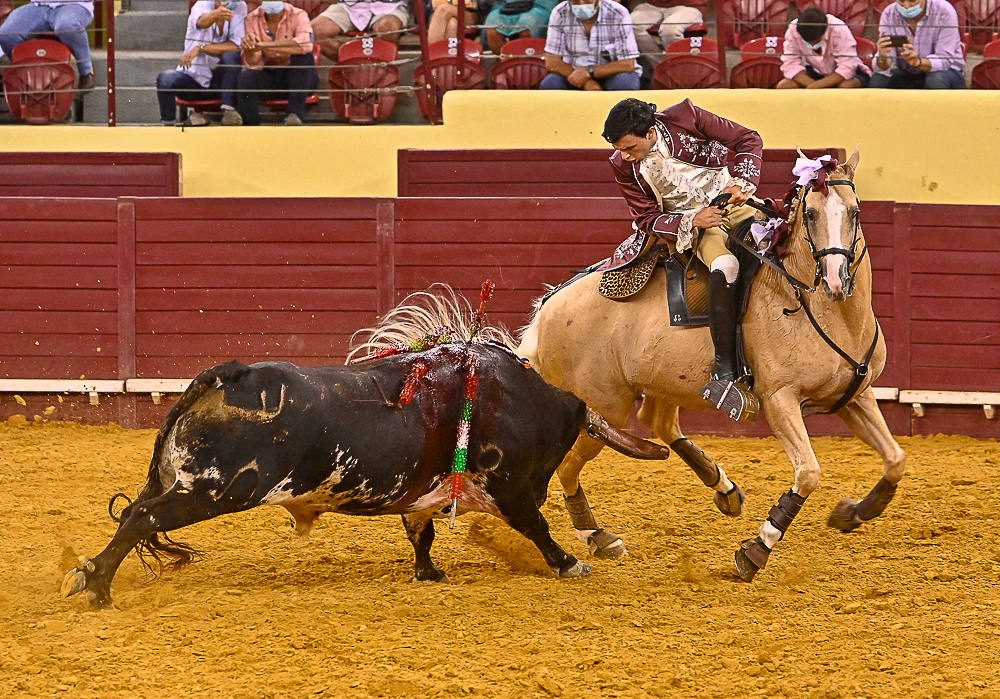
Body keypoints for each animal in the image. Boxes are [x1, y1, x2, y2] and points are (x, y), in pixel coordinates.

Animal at [63, 343, 669, 609]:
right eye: (566, 441)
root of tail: (230, 374)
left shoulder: (424, 496)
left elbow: (421, 532)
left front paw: (429, 572)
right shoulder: (514, 489)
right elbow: (538, 528)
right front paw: (570, 563)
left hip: (181, 481)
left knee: (137, 513)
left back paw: (92, 578)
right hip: (212, 490)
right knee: (142, 519)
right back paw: (97, 586)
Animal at [515, 148, 907, 581]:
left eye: (855, 211)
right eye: (810, 214)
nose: (837, 281)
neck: (822, 310)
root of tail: (549, 305)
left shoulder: (856, 395)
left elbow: (895, 459)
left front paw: (853, 512)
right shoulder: (780, 400)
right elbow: (808, 472)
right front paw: (756, 551)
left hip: (666, 381)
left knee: (658, 422)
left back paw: (723, 488)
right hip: (606, 405)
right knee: (569, 467)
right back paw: (599, 536)